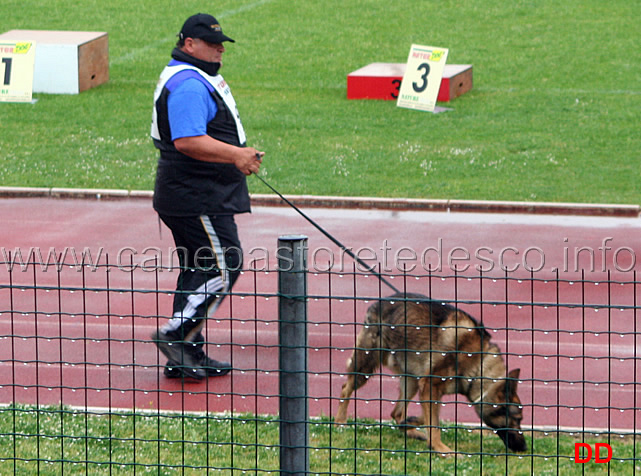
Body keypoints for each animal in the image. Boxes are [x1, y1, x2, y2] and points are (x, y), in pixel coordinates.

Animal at [336, 292, 524, 456]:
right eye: (517, 419)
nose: (525, 448)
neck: (478, 363)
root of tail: (379, 302)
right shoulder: (429, 386)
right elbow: (434, 424)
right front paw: (441, 449)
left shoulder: (429, 389)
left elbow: (430, 418)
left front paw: (411, 422)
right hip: (366, 366)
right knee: (345, 388)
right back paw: (340, 422)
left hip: (411, 380)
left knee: (396, 413)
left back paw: (410, 431)